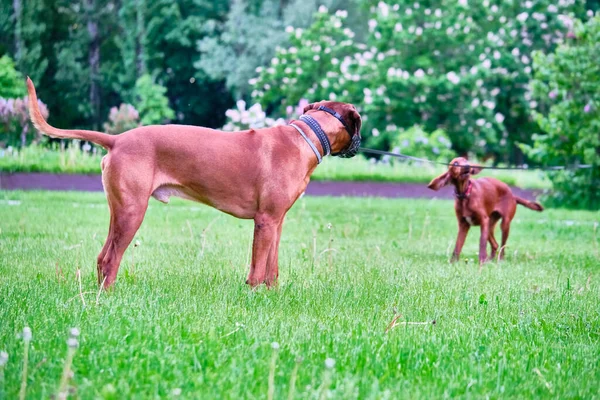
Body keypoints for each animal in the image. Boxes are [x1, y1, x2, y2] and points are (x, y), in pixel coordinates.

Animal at [25, 77, 364, 288]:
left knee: (101, 257)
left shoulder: (276, 222)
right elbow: (257, 269)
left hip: (120, 211)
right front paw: (253, 296)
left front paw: (272, 294)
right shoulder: (265, 221)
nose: (361, 144)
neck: (304, 138)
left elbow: (272, 268)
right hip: (133, 212)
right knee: (110, 259)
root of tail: (117, 139)